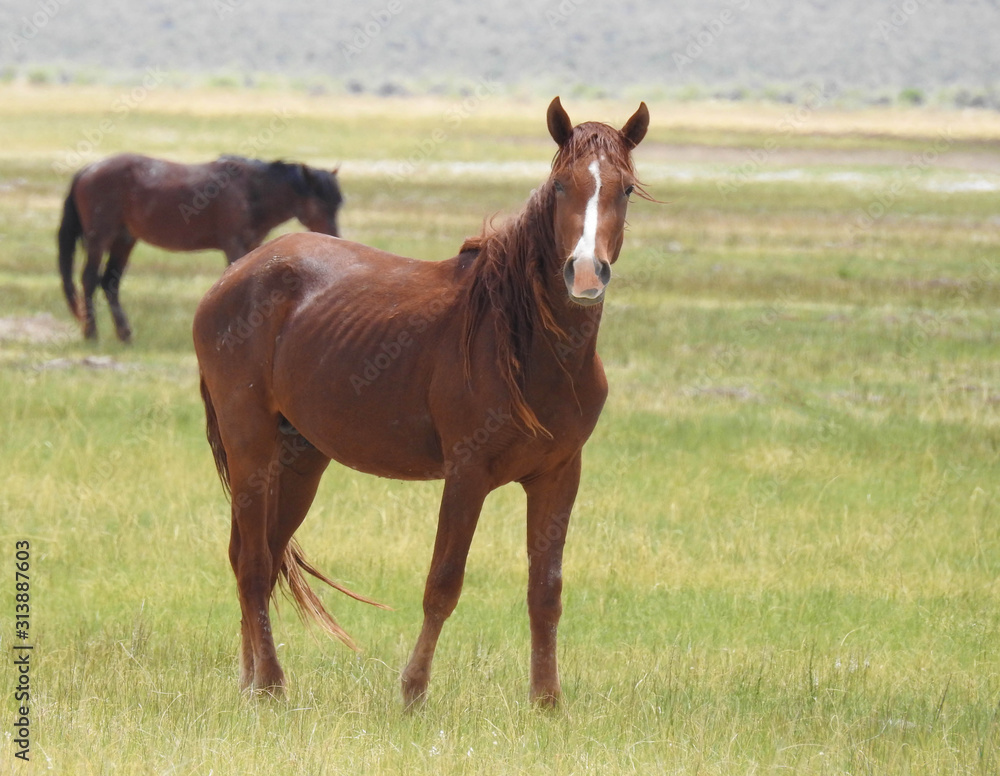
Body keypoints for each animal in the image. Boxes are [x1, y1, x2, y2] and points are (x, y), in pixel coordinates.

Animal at [57, 153, 343, 342]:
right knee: (90, 279)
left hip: (124, 239)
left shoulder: (252, 245)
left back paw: (124, 333)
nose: (334, 237)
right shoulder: (233, 244)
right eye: (321, 203)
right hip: (100, 238)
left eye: (338, 203)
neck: (251, 191)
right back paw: (91, 333)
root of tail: (88, 169)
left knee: (110, 282)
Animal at [192, 96, 650, 707]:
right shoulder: (467, 474)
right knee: (253, 562)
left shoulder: (558, 475)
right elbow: (443, 583)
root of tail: (232, 277)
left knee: (257, 556)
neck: (528, 344)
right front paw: (412, 692)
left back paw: (250, 682)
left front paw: (547, 703)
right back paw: (270, 683)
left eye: (625, 189)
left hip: (301, 458)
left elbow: (545, 591)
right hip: (251, 447)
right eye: (559, 186)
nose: (584, 273)